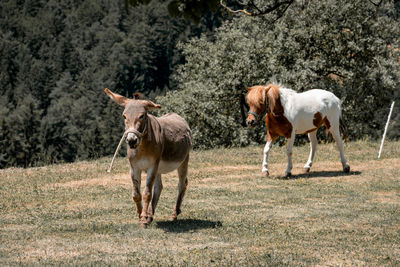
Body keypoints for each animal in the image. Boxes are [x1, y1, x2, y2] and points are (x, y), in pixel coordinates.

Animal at [104, 89, 192, 227]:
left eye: (142, 116)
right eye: (124, 116)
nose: (131, 140)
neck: (142, 148)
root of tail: (177, 116)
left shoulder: (152, 166)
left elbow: (147, 194)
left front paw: (144, 219)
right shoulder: (134, 167)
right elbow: (136, 194)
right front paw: (142, 215)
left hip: (183, 161)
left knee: (182, 184)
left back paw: (174, 214)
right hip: (159, 168)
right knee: (159, 187)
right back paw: (150, 215)